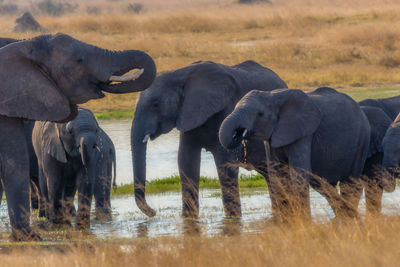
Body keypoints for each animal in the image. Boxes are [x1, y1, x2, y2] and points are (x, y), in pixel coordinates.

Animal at [131, 59, 288, 219]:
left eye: (155, 104)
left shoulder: (226, 109)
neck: (180, 74)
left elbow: (225, 162)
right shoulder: (187, 114)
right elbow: (186, 161)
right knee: (270, 174)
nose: (153, 212)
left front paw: (232, 219)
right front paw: (189, 219)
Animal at [220, 87, 370, 220]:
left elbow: (298, 172)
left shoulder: (304, 133)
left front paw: (302, 220)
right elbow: (277, 174)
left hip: (361, 140)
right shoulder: (272, 137)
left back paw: (349, 216)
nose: (239, 134)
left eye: (260, 114)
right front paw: (288, 221)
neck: (272, 96)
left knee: (350, 182)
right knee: (326, 184)